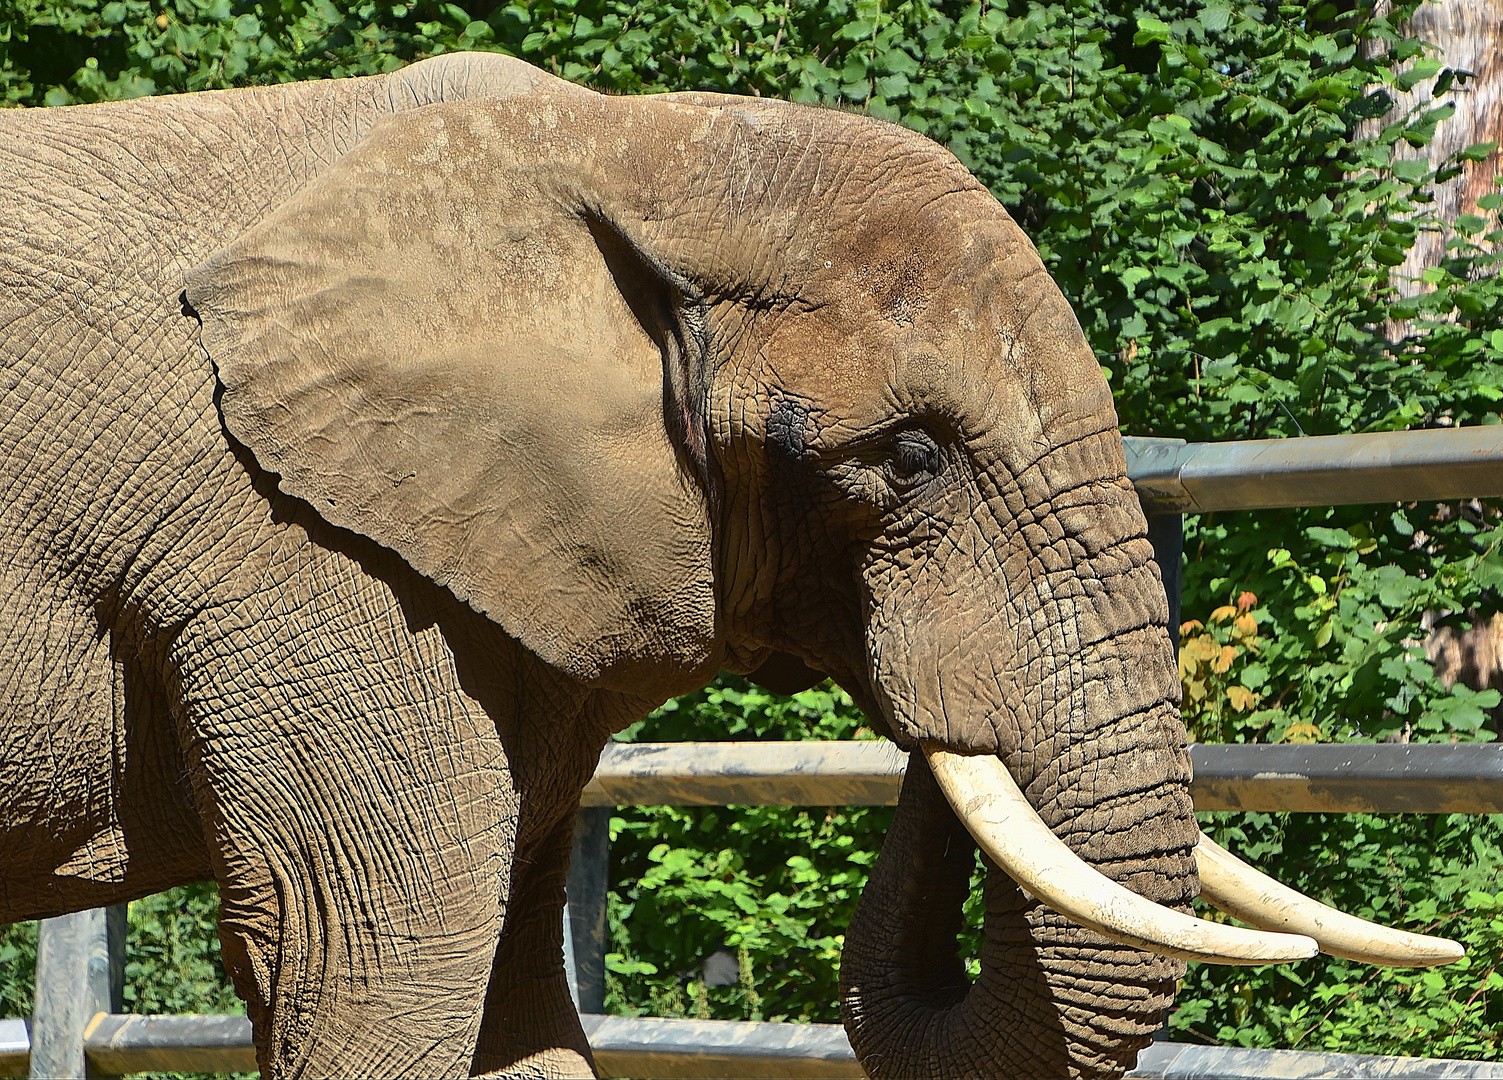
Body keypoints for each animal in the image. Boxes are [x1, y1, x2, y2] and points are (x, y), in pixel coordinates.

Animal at [0, 50, 1454, 1080]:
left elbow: (517, 1004)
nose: (932, 706)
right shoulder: (302, 560)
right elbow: (366, 961)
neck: (626, 144)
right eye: (910, 457)